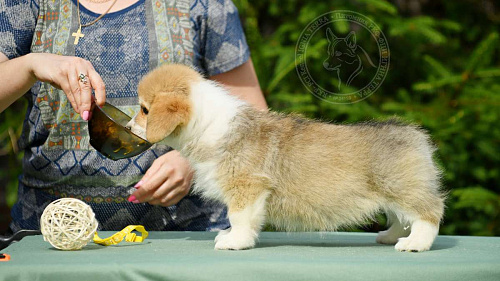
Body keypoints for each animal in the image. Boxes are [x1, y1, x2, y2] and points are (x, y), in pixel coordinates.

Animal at [126, 63, 446, 252]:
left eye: (144, 110)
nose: (127, 128)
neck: (207, 124)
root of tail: (415, 136)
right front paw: (230, 235)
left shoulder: (247, 188)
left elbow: (239, 218)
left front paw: (234, 241)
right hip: (393, 194)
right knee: (401, 218)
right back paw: (391, 237)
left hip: (403, 189)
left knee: (430, 213)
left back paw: (414, 243)